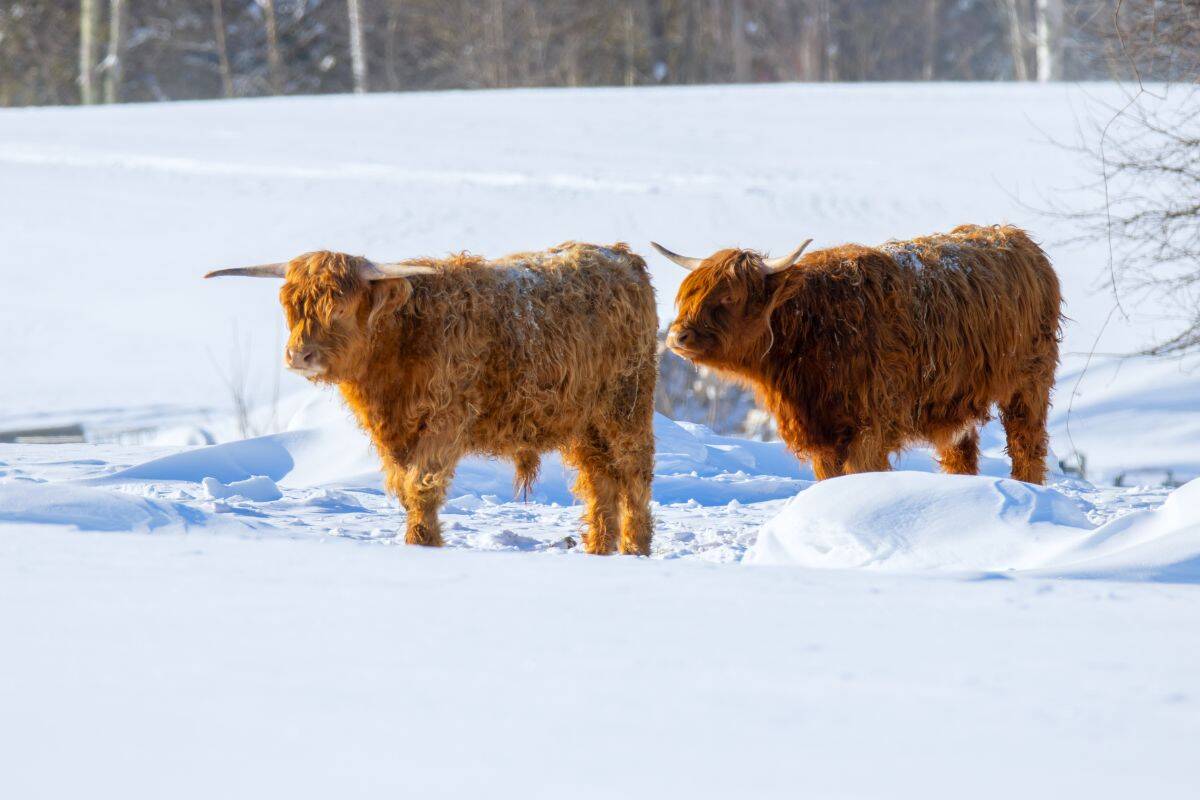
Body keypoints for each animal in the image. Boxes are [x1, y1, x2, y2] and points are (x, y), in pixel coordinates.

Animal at [206, 242, 658, 554]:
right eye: (292, 307)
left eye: (341, 309)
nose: (298, 356)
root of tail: (621, 256)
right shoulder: (396, 436)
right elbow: (407, 489)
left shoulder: (443, 423)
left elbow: (422, 486)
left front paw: (422, 544)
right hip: (583, 422)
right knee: (600, 481)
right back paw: (599, 549)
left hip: (626, 406)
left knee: (633, 474)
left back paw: (634, 548)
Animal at [653, 224, 1061, 484]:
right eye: (688, 294)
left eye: (729, 298)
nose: (676, 336)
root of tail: (1017, 238)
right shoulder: (822, 438)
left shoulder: (869, 429)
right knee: (960, 453)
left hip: (1030, 384)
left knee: (1027, 447)